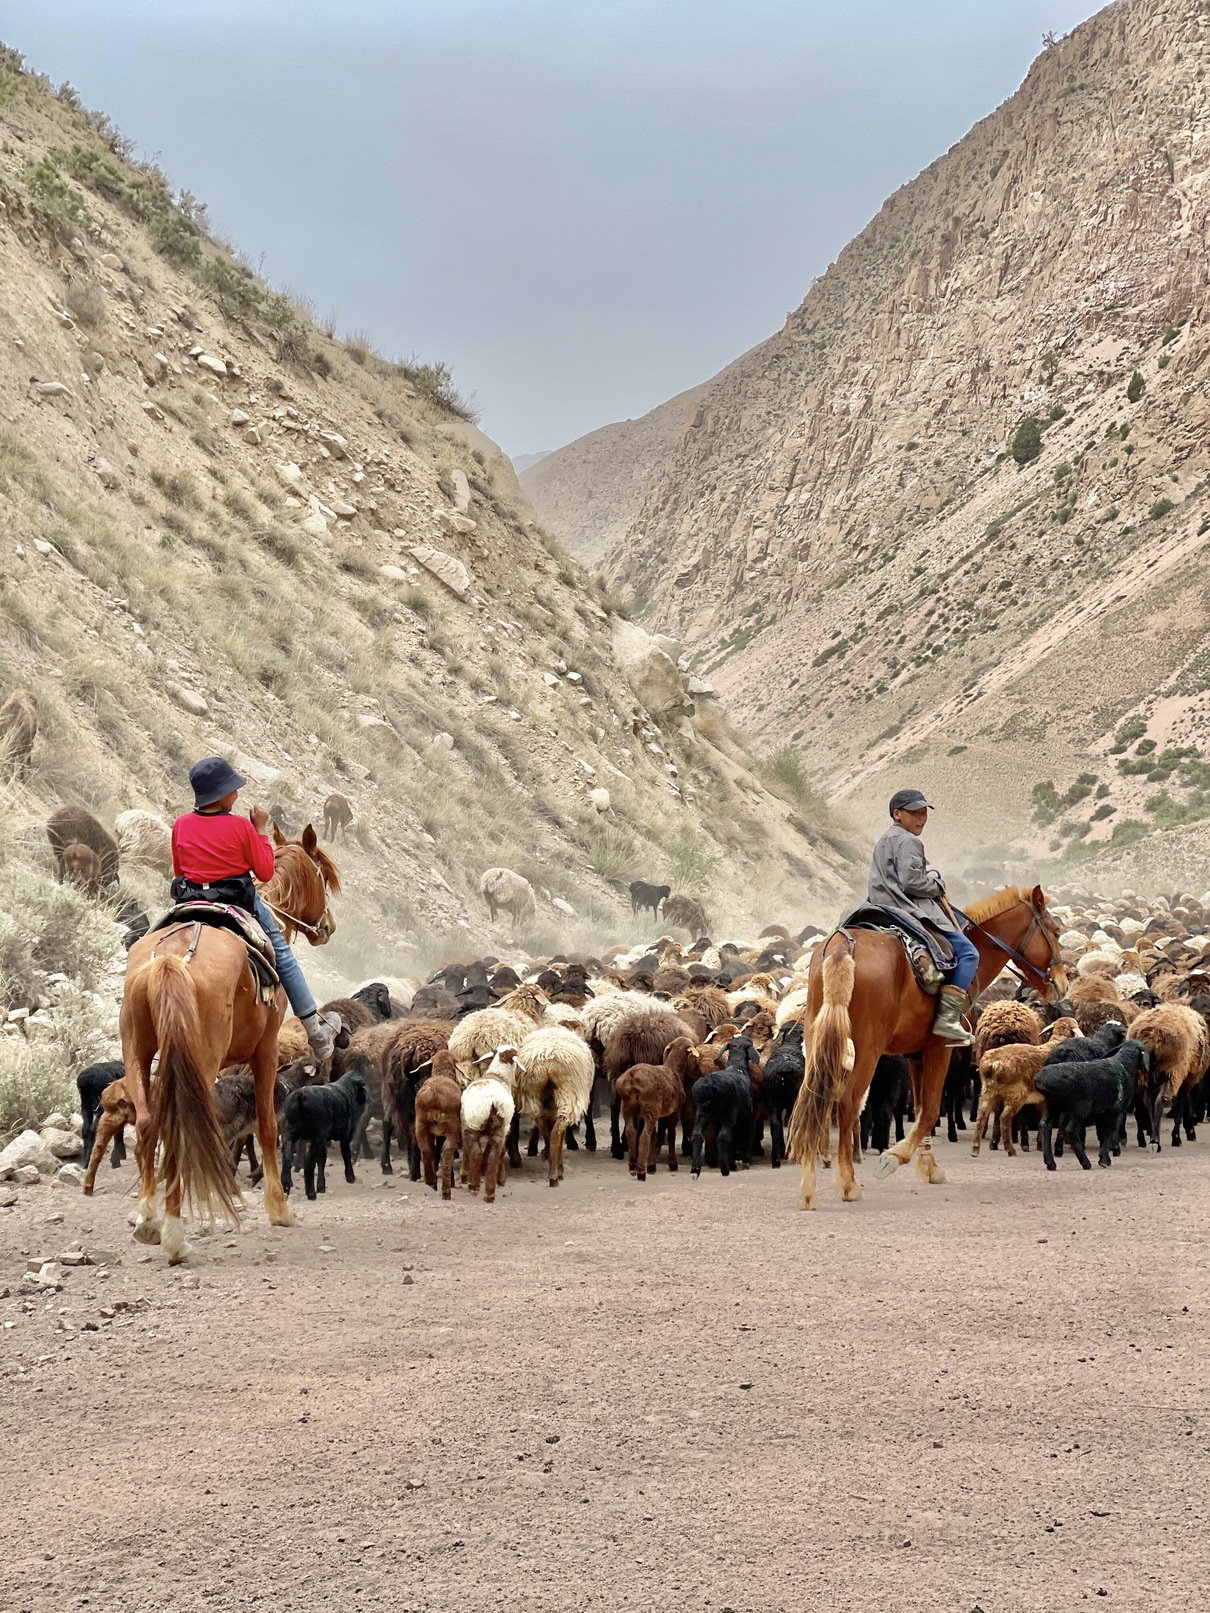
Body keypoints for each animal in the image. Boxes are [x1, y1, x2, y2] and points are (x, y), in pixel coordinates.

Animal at [122, 819, 338, 1258]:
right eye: (322, 877)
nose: (327, 925)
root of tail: (169, 959)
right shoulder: (265, 1051)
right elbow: (268, 1126)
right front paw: (279, 1209)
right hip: (199, 1062)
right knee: (179, 1130)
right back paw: (175, 1236)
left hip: (138, 1054)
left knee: (150, 1123)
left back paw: (149, 1220)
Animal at [283, 1058, 372, 1200]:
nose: (365, 1101)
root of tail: (300, 1096)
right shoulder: (345, 1135)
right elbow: (345, 1154)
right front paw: (350, 1177)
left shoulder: (325, 1138)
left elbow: (322, 1159)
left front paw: (321, 1186)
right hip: (316, 1135)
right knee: (308, 1160)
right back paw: (310, 1193)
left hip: (292, 1131)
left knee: (287, 1156)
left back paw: (286, 1187)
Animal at [690, 1032, 758, 1174]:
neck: (737, 1067)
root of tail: (709, 1083)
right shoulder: (744, 1117)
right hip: (729, 1114)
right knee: (723, 1137)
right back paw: (725, 1167)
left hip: (702, 1113)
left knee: (697, 1136)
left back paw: (695, 1168)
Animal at [790, 883, 1064, 1212]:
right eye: (1055, 931)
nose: (1062, 982)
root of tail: (844, 948)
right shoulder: (939, 1048)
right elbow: (931, 1110)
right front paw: (894, 1158)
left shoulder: (915, 1054)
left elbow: (921, 1109)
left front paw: (928, 1165)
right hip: (867, 1049)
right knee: (846, 1103)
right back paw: (848, 1183)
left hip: (819, 1042)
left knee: (812, 1100)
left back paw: (807, 1188)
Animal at [1038, 1032, 1148, 1174]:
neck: (1123, 1064)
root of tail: (1041, 1079)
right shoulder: (1116, 1110)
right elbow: (1111, 1130)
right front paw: (1105, 1159)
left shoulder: (1104, 1111)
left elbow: (1105, 1131)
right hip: (1080, 1109)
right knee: (1071, 1130)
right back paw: (1085, 1163)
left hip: (1052, 1105)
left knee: (1045, 1125)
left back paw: (1050, 1162)